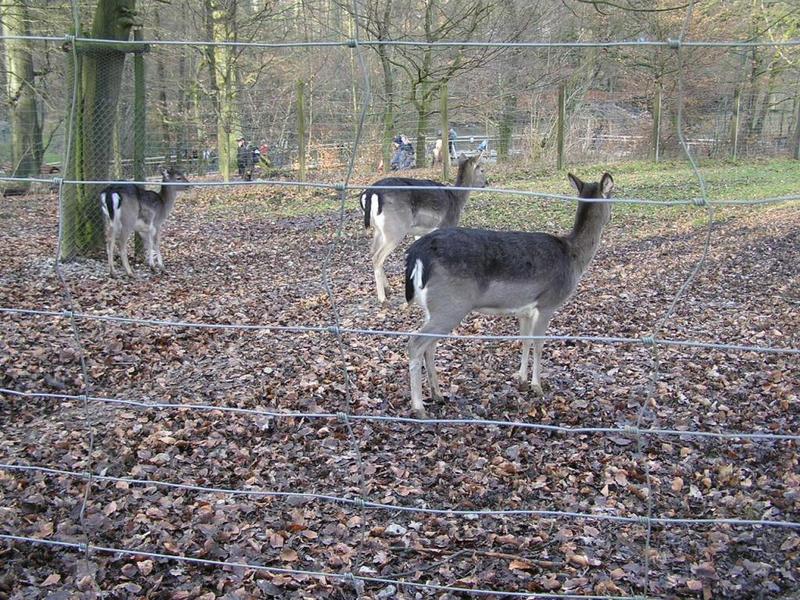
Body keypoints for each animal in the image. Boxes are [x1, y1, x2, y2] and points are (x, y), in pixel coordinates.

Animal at [360, 154, 488, 302]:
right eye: (482, 169)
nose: (486, 183)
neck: (457, 200)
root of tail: (371, 192)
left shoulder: (421, 233)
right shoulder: (447, 225)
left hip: (378, 230)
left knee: (372, 252)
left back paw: (388, 288)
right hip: (395, 228)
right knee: (377, 257)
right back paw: (382, 298)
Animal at [404, 172, 616, 418]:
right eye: (612, 197)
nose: (611, 217)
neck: (574, 257)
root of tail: (416, 253)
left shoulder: (524, 309)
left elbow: (525, 340)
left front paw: (521, 379)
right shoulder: (547, 303)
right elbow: (539, 344)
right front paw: (537, 386)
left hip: (434, 308)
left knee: (429, 345)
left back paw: (438, 394)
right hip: (450, 305)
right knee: (416, 342)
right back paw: (419, 407)